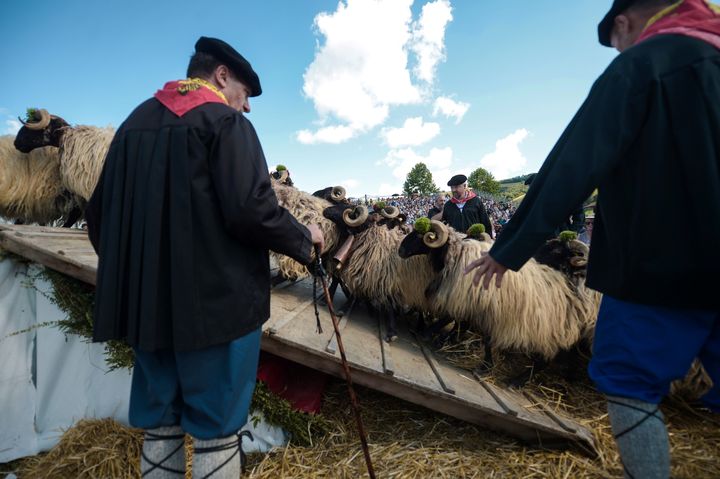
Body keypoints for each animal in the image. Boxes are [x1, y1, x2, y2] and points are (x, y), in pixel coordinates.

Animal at [396, 219, 600, 384]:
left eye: (421, 235)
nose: (400, 250)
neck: (456, 253)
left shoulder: (477, 303)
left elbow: (459, 322)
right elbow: (462, 324)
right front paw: (446, 338)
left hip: (549, 331)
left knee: (545, 360)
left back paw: (518, 381)